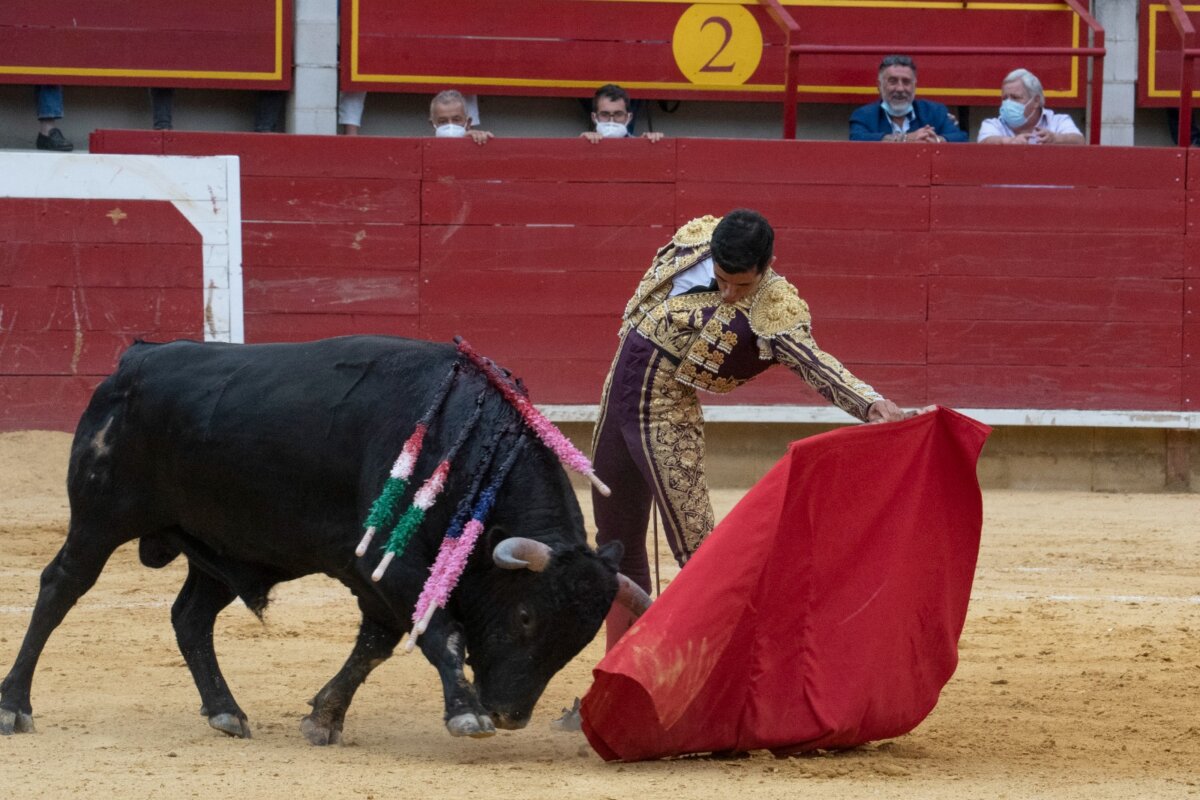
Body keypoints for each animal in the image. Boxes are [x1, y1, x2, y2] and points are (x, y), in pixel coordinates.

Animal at [0, 336, 648, 744]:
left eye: (582, 637)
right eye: (526, 617)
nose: (511, 714)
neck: (467, 445)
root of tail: (133, 360)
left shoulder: (375, 576)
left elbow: (376, 645)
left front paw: (325, 717)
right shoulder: (390, 564)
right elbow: (440, 634)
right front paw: (465, 715)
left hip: (219, 547)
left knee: (190, 617)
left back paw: (226, 712)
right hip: (99, 520)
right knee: (60, 587)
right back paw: (14, 706)